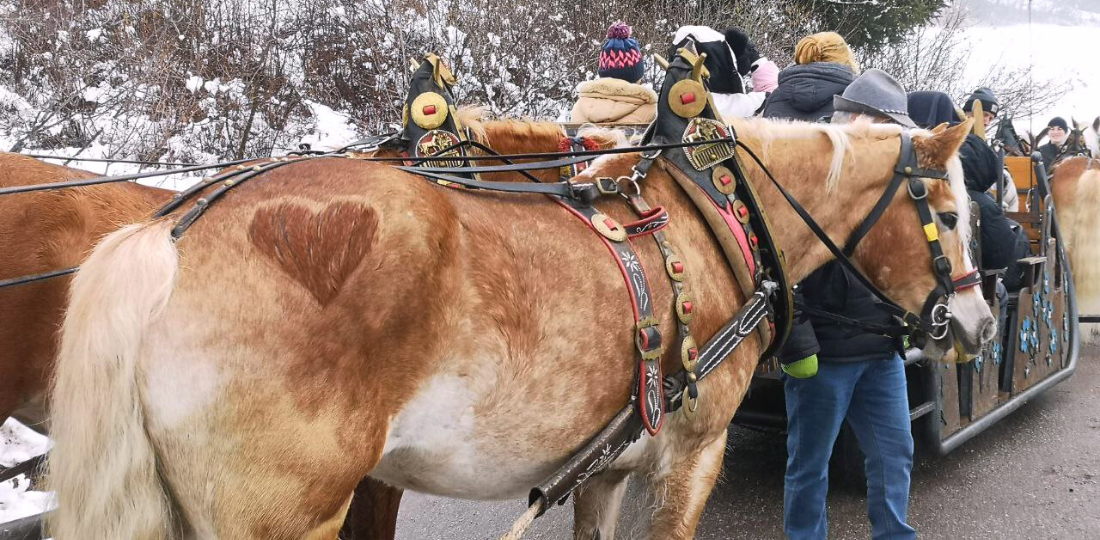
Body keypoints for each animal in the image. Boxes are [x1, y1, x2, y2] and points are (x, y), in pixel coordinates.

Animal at [42, 114, 994, 540]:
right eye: (949, 212)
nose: (980, 323)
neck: (715, 219)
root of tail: (171, 231)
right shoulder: (691, 456)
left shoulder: (611, 466)